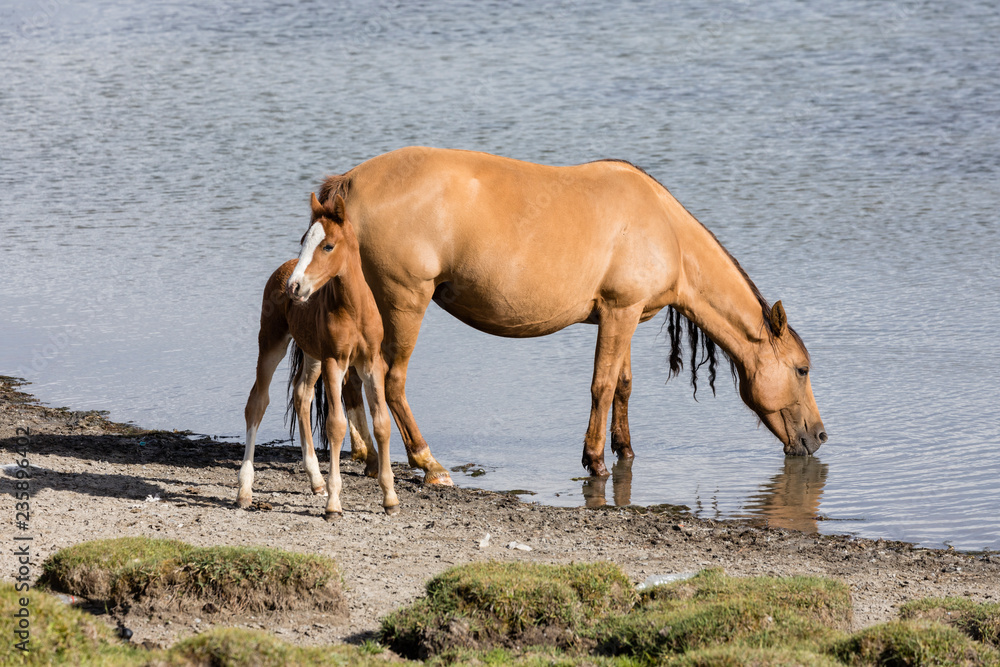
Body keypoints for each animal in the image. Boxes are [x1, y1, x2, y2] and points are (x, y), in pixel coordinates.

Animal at [322, 147, 828, 486]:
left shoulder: (626, 314)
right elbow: (601, 387)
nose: (819, 437)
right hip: (405, 303)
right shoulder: (619, 313)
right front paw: (596, 459)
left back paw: (368, 456)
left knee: (353, 378)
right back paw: (427, 463)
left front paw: (625, 450)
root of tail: (350, 182)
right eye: (801, 369)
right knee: (391, 380)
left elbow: (622, 386)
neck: (665, 227)